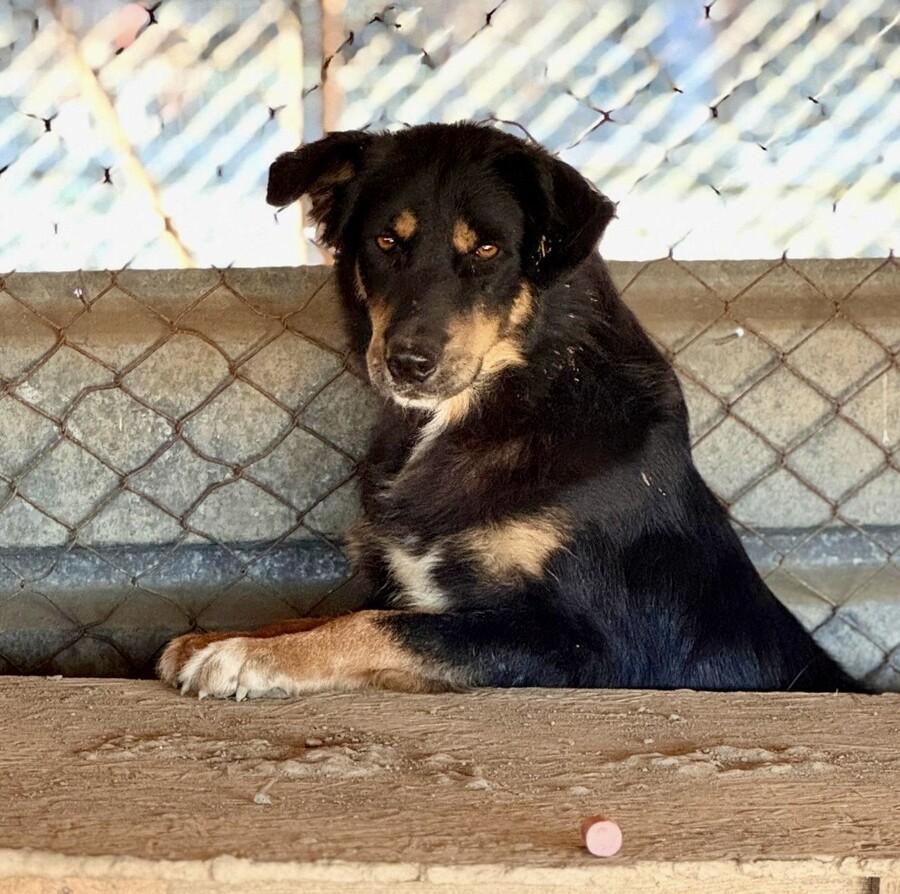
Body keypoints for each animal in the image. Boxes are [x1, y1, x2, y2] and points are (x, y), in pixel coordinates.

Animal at [158, 121, 860, 698]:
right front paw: (220, 637)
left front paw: (246, 657)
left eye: (488, 251)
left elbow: (380, 625)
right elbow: (342, 612)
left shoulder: (594, 648)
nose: (407, 362)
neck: (522, 393)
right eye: (386, 241)